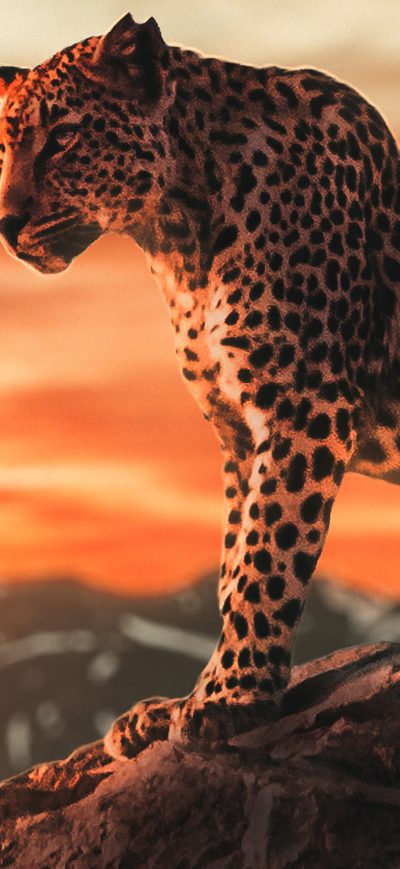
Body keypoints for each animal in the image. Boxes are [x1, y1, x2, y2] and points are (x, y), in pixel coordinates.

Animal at [1, 12, 400, 760]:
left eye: (63, 136)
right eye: (5, 146)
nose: (6, 225)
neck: (176, 241)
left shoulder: (303, 403)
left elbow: (268, 552)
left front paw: (229, 700)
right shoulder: (236, 432)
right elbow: (232, 562)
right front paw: (184, 700)